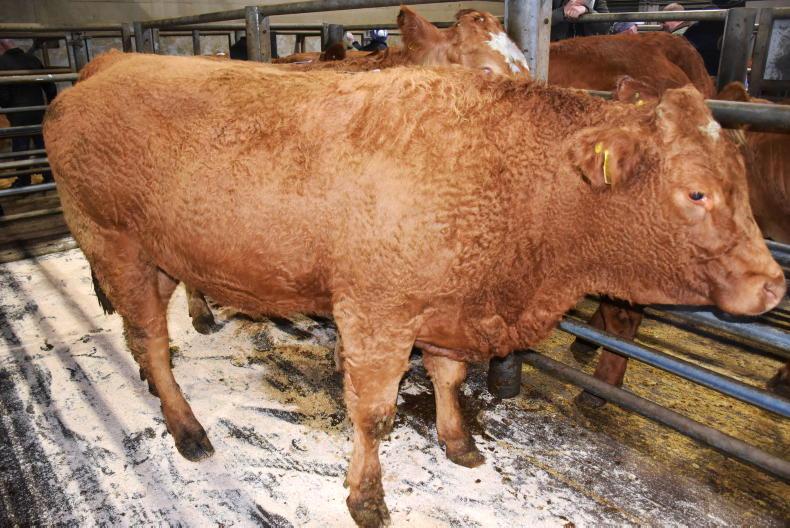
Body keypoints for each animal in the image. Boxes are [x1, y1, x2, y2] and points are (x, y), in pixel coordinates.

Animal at [44, 53, 784, 526]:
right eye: (697, 192)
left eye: (741, 178)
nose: (772, 284)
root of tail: (107, 63)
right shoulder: (376, 312)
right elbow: (376, 413)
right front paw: (367, 498)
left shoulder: (448, 306)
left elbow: (450, 378)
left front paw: (458, 444)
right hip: (113, 242)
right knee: (148, 336)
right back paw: (187, 428)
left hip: (160, 253)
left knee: (144, 333)